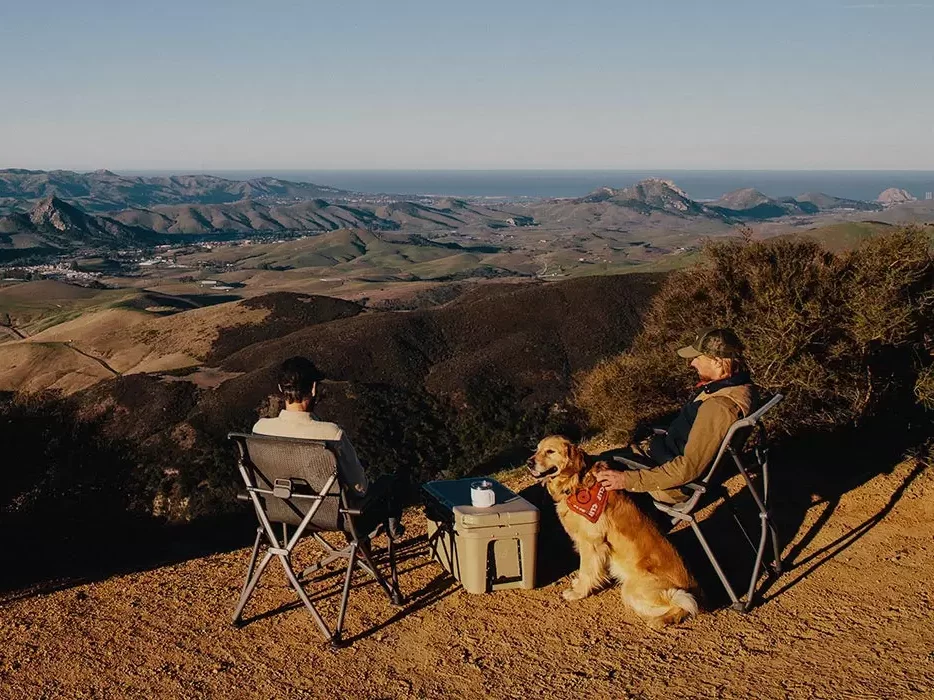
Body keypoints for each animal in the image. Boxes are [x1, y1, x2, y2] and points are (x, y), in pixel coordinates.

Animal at [532, 434, 700, 628]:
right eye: (536, 449)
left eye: (550, 451)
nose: (529, 462)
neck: (577, 483)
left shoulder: (592, 543)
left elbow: (586, 570)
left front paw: (578, 592)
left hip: (635, 589)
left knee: (682, 605)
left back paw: (659, 619)